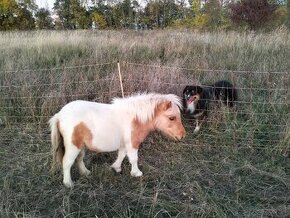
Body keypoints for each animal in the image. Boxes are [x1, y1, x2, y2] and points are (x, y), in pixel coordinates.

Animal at [49, 92, 186, 187]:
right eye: (172, 118)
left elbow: (121, 155)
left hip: (81, 146)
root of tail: (59, 115)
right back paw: (68, 183)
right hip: (73, 146)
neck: (136, 118)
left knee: (79, 159)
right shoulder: (133, 143)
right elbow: (133, 159)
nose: (182, 135)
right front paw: (136, 173)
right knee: (67, 162)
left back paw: (85, 172)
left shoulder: (125, 144)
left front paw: (116, 168)